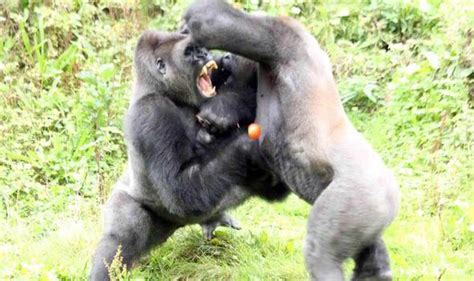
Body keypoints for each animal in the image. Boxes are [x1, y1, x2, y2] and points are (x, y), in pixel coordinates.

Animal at [90, 30, 286, 278]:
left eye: (200, 48)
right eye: (189, 52)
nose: (204, 54)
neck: (163, 90)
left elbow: (254, 75)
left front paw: (227, 106)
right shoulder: (151, 114)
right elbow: (179, 189)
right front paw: (247, 145)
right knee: (122, 237)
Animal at [185, 1, 400, 278]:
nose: (224, 59)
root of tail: (393, 194)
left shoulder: (284, 35)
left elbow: (212, 20)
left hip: (362, 197)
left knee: (322, 257)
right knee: (374, 261)